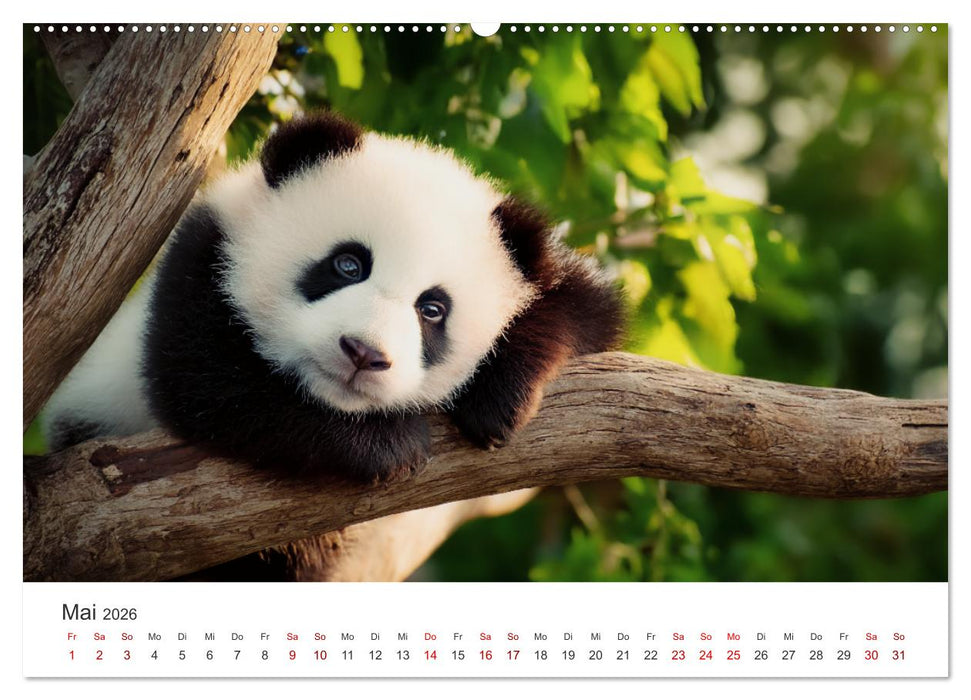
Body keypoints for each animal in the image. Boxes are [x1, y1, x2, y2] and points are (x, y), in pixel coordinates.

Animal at [44, 111, 624, 488]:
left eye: (432, 309)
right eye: (348, 265)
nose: (363, 354)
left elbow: (587, 311)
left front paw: (498, 398)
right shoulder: (204, 255)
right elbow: (207, 382)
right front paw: (389, 446)